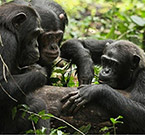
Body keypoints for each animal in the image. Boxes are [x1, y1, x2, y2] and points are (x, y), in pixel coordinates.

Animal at [0, 3, 49, 134]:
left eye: (37, 35)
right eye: (34, 34)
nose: (36, 45)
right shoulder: (6, 40)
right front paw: (39, 72)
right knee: (38, 106)